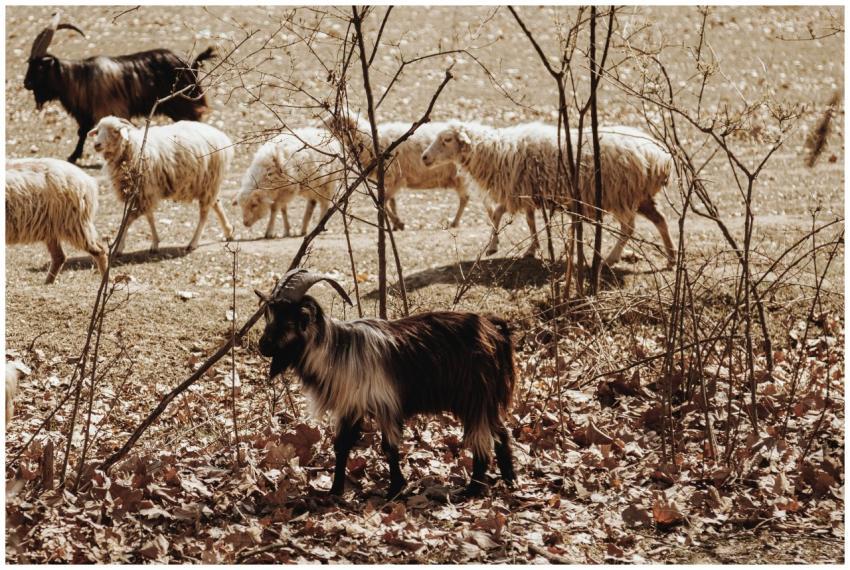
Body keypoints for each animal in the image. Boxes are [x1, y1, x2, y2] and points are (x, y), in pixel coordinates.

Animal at [24, 12, 215, 164]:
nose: (26, 83)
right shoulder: (87, 115)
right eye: (29, 64)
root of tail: (191, 66)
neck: (80, 78)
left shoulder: (110, 110)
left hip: (184, 105)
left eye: (39, 67)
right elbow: (83, 133)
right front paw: (73, 156)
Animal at [88, 116, 235, 253]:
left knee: (204, 213)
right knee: (216, 203)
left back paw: (193, 243)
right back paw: (228, 231)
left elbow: (128, 219)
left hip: (209, 180)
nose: (96, 145)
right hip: (207, 183)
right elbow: (149, 217)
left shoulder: (144, 191)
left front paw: (118, 247)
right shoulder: (144, 192)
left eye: (115, 131)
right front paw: (155, 243)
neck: (134, 147)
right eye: (98, 131)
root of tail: (222, 137)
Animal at [255, 269, 517, 498]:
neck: (336, 350)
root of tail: (494, 330)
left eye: (286, 320)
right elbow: (341, 446)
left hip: (475, 397)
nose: (262, 346)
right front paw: (335, 491)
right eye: (270, 316)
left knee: (483, 440)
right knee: (501, 432)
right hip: (486, 399)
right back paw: (510, 480)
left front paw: (395, 490)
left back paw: (472, 489)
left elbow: (389, 447)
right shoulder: (352, 406)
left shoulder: (385, 405)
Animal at [328, 111, 471, 230]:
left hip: (460, 177)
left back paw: (455, 222)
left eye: (335, 122)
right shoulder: (388, 180)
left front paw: (398, 222)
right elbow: (392, 203)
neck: (368, 141)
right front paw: (396, 224)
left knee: (465, 198)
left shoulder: (397, 179)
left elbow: (384, 202)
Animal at [421, 122, 676, 266]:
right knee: (661, 220)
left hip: (621, 193)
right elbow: (529, 221)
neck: (496, 152)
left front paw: (493, 245)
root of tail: (660, 158)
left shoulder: (517, 191)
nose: (424, 157)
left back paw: (610, 258)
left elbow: (498, 213)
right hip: (640, 195)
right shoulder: (528, 194)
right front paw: (531, 248)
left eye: (447, 139)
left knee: (629, 228)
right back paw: (672, 256)